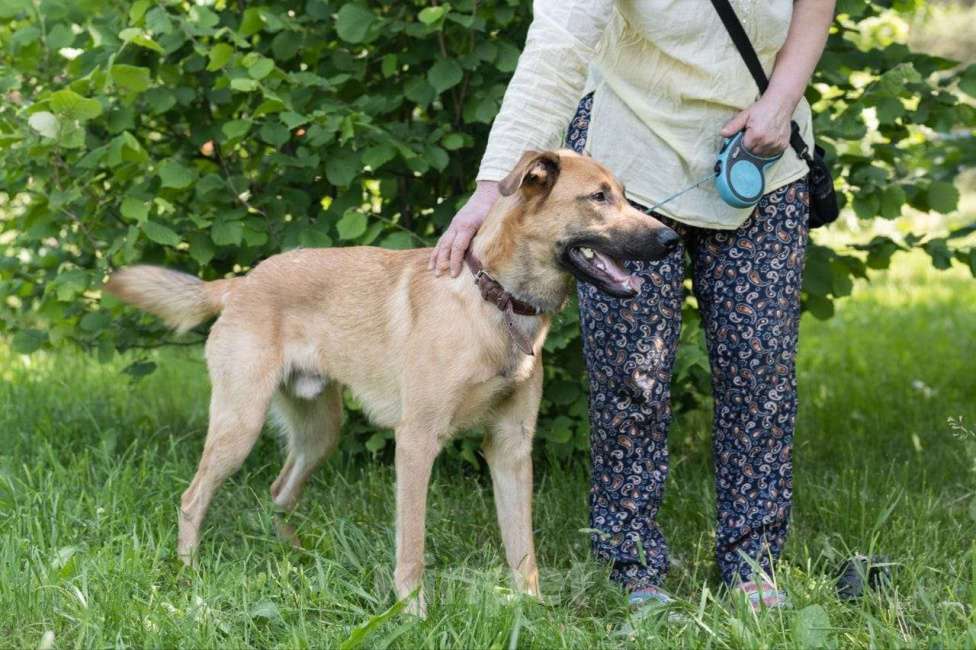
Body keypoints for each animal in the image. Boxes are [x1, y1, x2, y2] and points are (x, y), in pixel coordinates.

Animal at [105, 149, 680, 616]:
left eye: (624, 194)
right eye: (598, 197)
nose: (671, 238)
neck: (492, 301)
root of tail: (241, 282)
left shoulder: (511, 448)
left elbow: (523, 548)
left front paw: (532, 611)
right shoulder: (417, 442)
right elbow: (412, 546)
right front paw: (412, 613)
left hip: (319, 431)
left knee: (279, 491)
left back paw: (290, 557)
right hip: (238, 424)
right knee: (192, 497)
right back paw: (188, 576)